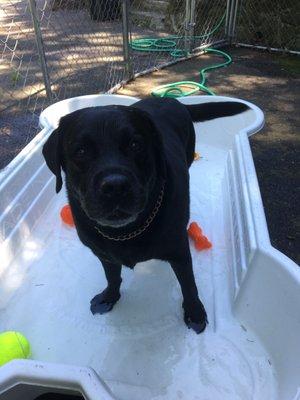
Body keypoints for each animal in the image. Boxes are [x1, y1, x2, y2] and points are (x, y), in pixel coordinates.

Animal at [42, 97, 248, 334]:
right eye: (81, 151)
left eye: (135, 145)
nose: (115, 186)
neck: (125, 232)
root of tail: (170, 99)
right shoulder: (104, 255)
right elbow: (112, 277)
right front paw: (109, 297)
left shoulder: (179, 251)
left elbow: (189, 284)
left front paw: (194, 312)